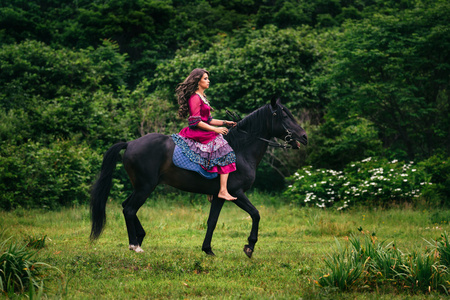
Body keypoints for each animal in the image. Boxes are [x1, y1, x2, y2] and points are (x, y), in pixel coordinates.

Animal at [91, 97, 310, 256]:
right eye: (283, 116)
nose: (304, 137)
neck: (241, 150)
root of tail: (130, 143)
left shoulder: (220, 197)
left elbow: (212, 221)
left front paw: (207, 249)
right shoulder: (236, 193)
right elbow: (256, 214)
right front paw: (249, 247)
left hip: (140, 187)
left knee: (126, 207)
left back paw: (140, 236)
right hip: (145, 187)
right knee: (129, 209)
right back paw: (134, 245)